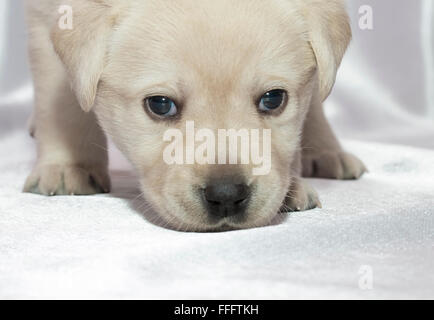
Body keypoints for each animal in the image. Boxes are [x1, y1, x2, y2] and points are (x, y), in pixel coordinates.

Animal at [24, 0, 366, 230]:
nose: (226, 196)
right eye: (160, 105)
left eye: (273, 99)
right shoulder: (44, 16)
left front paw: (292, 184)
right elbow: (61, 103)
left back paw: (327, 152)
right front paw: (69, 166)